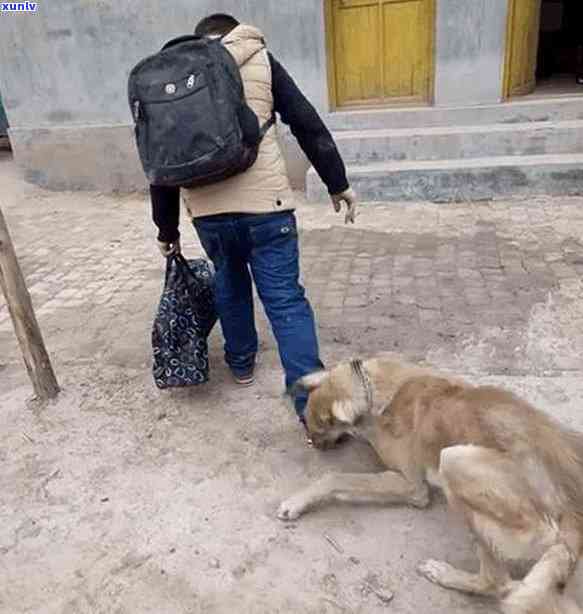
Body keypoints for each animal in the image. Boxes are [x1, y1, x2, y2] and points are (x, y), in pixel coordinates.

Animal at [278, 356, 583, 614]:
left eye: (317, 429)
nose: (312, 443)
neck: (372, 387)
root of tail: (573, 514)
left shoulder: (410, 485)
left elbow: (336, 477)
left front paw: (296, 502)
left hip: (453, 461)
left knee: (497, 582)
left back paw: (445, 574)